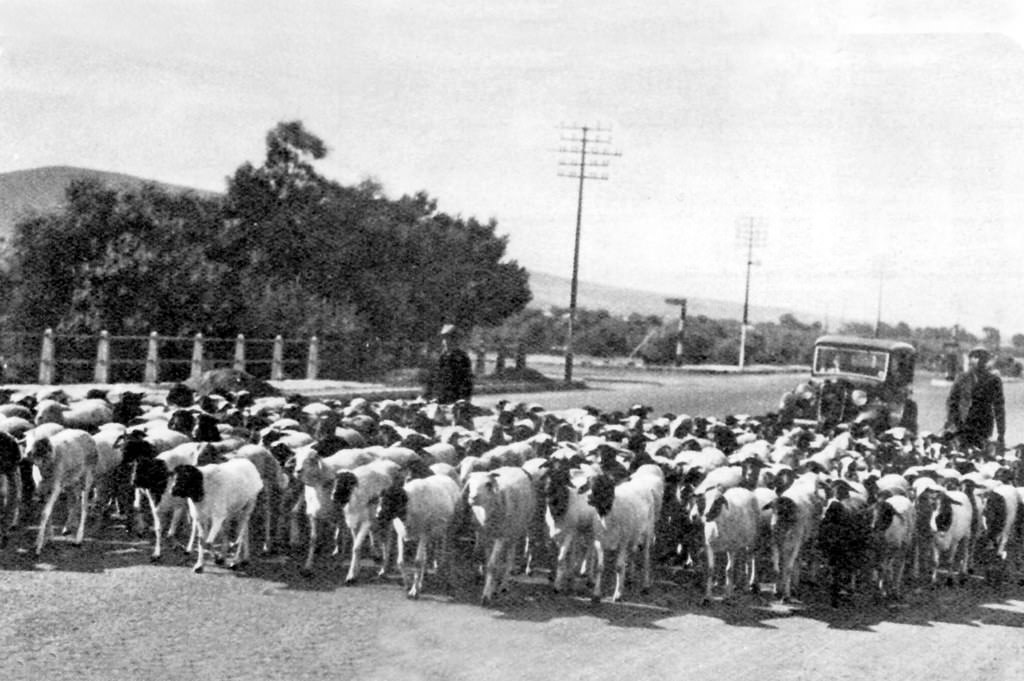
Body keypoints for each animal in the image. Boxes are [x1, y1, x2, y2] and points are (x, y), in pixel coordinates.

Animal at [27, 428, 98, 557]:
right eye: (26, 441)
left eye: (38, 442)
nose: (27, 453)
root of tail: (87, 434)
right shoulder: (43, 489)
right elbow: (47, 513)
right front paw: (48, 538)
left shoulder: (56, 488)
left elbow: (45, 513)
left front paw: (38, 546)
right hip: (72, 480)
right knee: (74, 499)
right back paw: (67, 527)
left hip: (87, 476)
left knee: (84, 505)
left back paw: (78, 538)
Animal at [466, 464, 540, 602]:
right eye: (470, 484)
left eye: (488, 484)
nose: (472, 498)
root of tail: (516, 467)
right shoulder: (486, 536)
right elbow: (489, 562)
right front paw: (491, 586)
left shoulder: (500, 537)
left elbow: (492, 564)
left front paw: (486, 595)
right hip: (511, 531)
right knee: (507, 555)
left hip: (523, 524)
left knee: (515, 553)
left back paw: (506, 584)